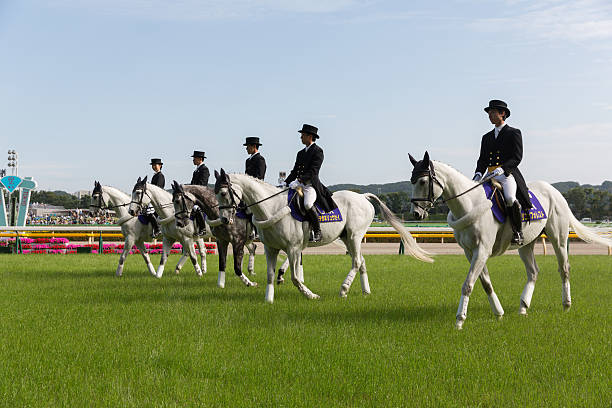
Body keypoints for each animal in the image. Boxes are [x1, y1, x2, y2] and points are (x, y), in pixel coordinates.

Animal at [213, 169, 432, 302]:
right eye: (214, 194)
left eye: (223, 193)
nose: (224, 219)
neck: (271, 207)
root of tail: (362, 196)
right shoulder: (270, 248)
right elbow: (269, 274)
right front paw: (268, 298)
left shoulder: (293, 248)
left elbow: (295, 276)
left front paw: (310, 295)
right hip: (347, 238)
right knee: (361, 261)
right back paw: (365, 291)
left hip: (355, 236)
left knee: (356, 261)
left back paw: (344, 289)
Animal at [406, 151, 612, 330]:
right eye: (412, 182)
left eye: (423, 181)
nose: (416, 214)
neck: (469, 204)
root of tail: (554, 191)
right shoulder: (471, 252)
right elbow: (485, 283)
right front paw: (499, 313)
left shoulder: (482, 250)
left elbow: (468, 284)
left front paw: (459, 320)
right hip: (526, 244)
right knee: (533, 271)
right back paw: (523, 307)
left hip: (558, 239)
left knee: (564, 268)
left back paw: (566, 304)